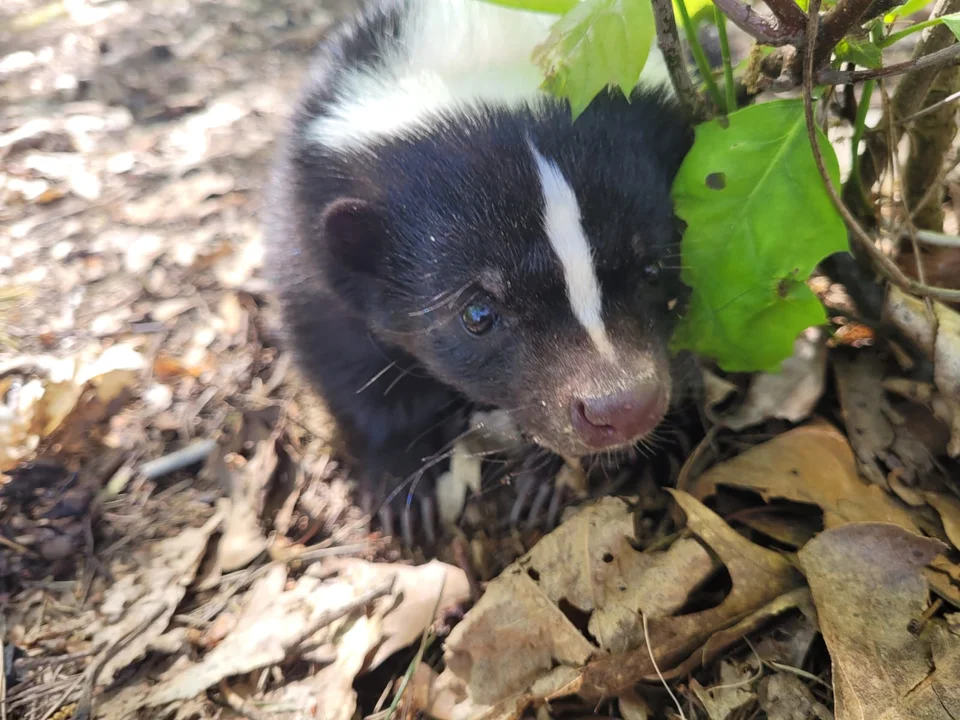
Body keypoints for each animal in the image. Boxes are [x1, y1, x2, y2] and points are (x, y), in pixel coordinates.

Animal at [264, 0, 696, 532]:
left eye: (653, 271)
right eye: (476, 315)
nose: (622, 406)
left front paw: (547, 477)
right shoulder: (304, 223)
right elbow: (337, 346)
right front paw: (403, 485)